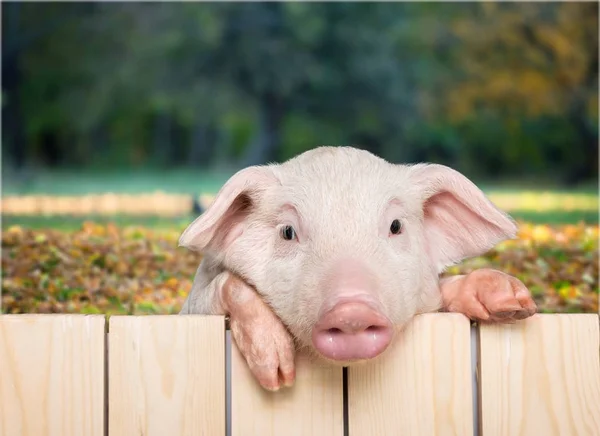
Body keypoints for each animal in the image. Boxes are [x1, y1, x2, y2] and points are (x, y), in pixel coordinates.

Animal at [177, 146, 536, 392]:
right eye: (288, 232)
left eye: (395, 225)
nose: (352, 309)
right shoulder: (193, 305)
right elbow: (229, 284)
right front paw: (279, 378)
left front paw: (514, 304)